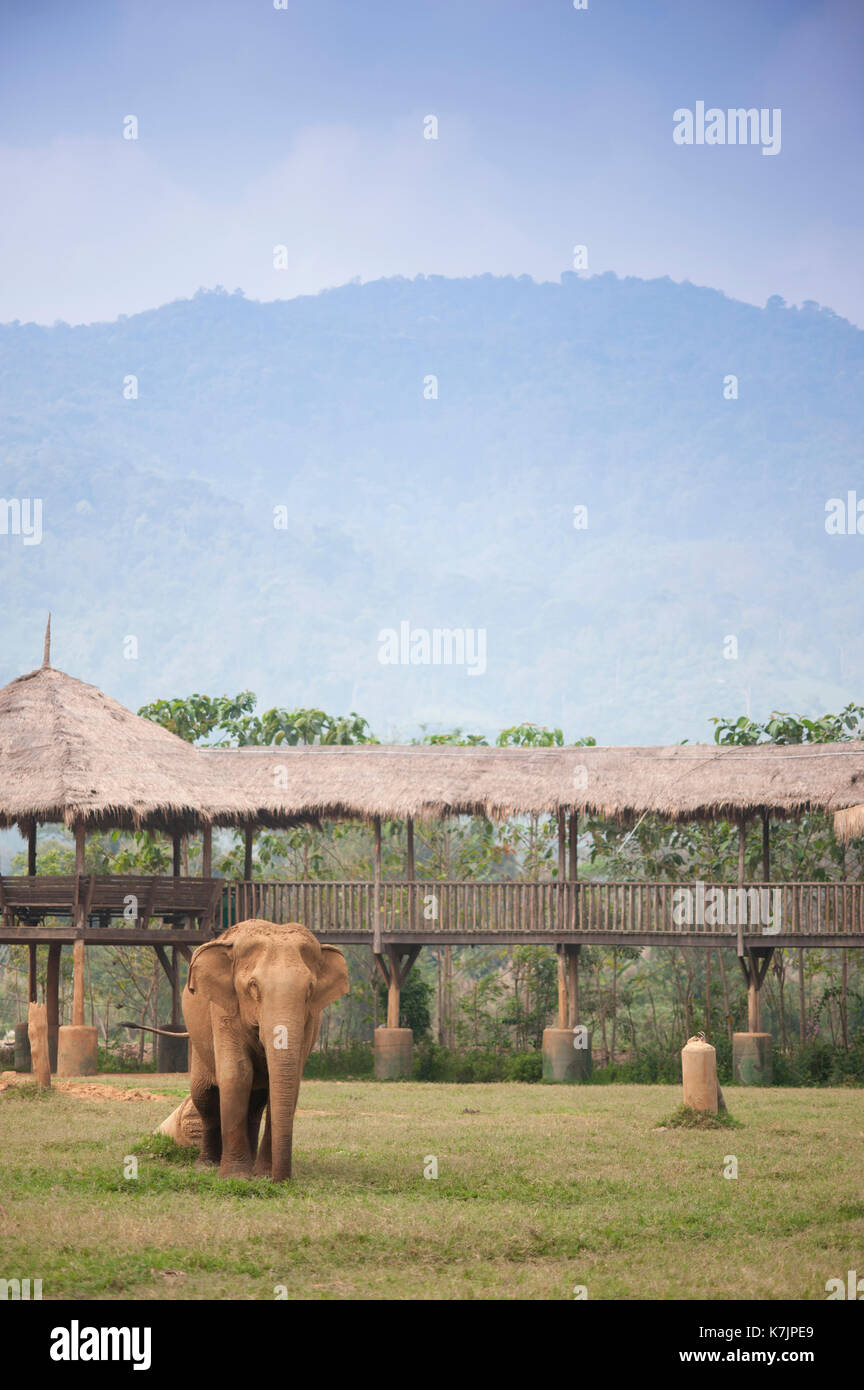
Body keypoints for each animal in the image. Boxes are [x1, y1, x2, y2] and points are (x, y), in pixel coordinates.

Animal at [167, 917, 347, 1178]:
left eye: (310, 990)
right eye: (253, 986)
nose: (280, 1180)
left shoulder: (311, 1020)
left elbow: (288, 1080)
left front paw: (261, 1175)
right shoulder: (223, 1009)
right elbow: (237, 1074)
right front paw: (235, 1176)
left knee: (255, 1104)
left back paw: (251, 1164)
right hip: (199, 1045)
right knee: (205, 1097)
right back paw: (207, 1165)